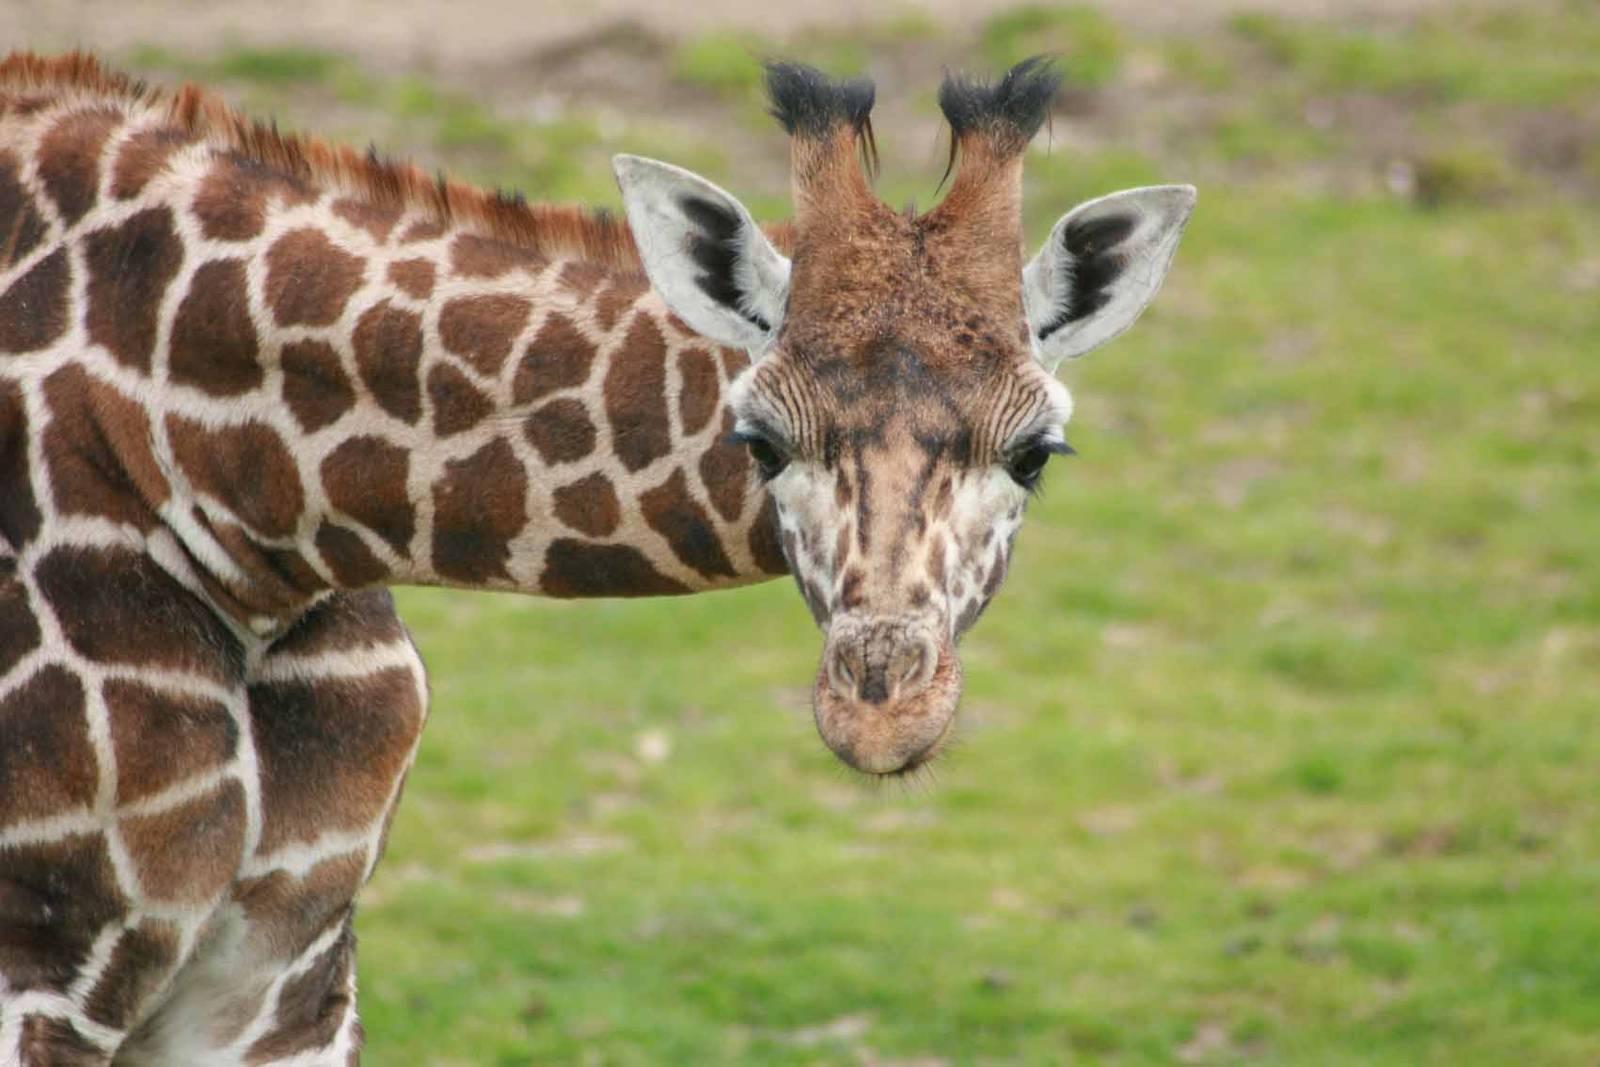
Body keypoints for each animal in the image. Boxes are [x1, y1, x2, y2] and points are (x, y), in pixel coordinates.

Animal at [0, 50, 1193, 1063]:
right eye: (759, 439)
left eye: (1037, 453)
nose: (882, 713)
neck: (249, 507)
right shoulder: (45, 969)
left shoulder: (283, 971)